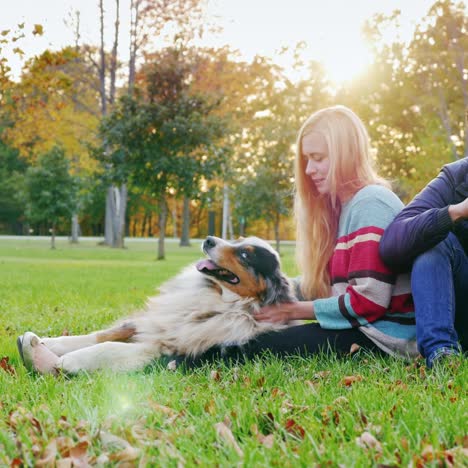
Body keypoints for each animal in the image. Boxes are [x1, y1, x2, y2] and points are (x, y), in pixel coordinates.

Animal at [19, 236, 296, 374]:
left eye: (245, 254)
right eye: (237, 240)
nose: (208, 239)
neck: (217, 298)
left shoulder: (168, 346)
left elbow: (110, 346)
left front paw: (70, 360)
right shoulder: (156, 321)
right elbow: (101, 335)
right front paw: (51, 343)